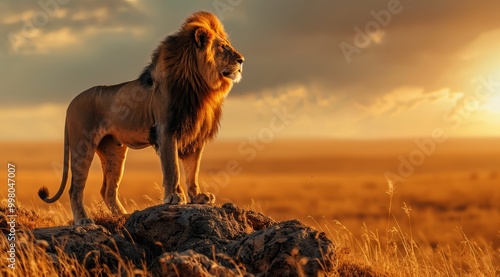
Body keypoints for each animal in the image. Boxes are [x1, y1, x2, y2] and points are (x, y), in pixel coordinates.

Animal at [37, 11, 244, 224]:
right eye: (222, 47)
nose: (242, 60)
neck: (200, 86)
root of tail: (70, 103)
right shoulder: (166, 129)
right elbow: (172, 168)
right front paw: (174, 197)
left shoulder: (194, 134)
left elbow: (192, 171)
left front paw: (198, 197)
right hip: (83, 145)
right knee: (75, 188)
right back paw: (83, 220)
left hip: (114, 152)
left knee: (107, 190)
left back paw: (125, 216)